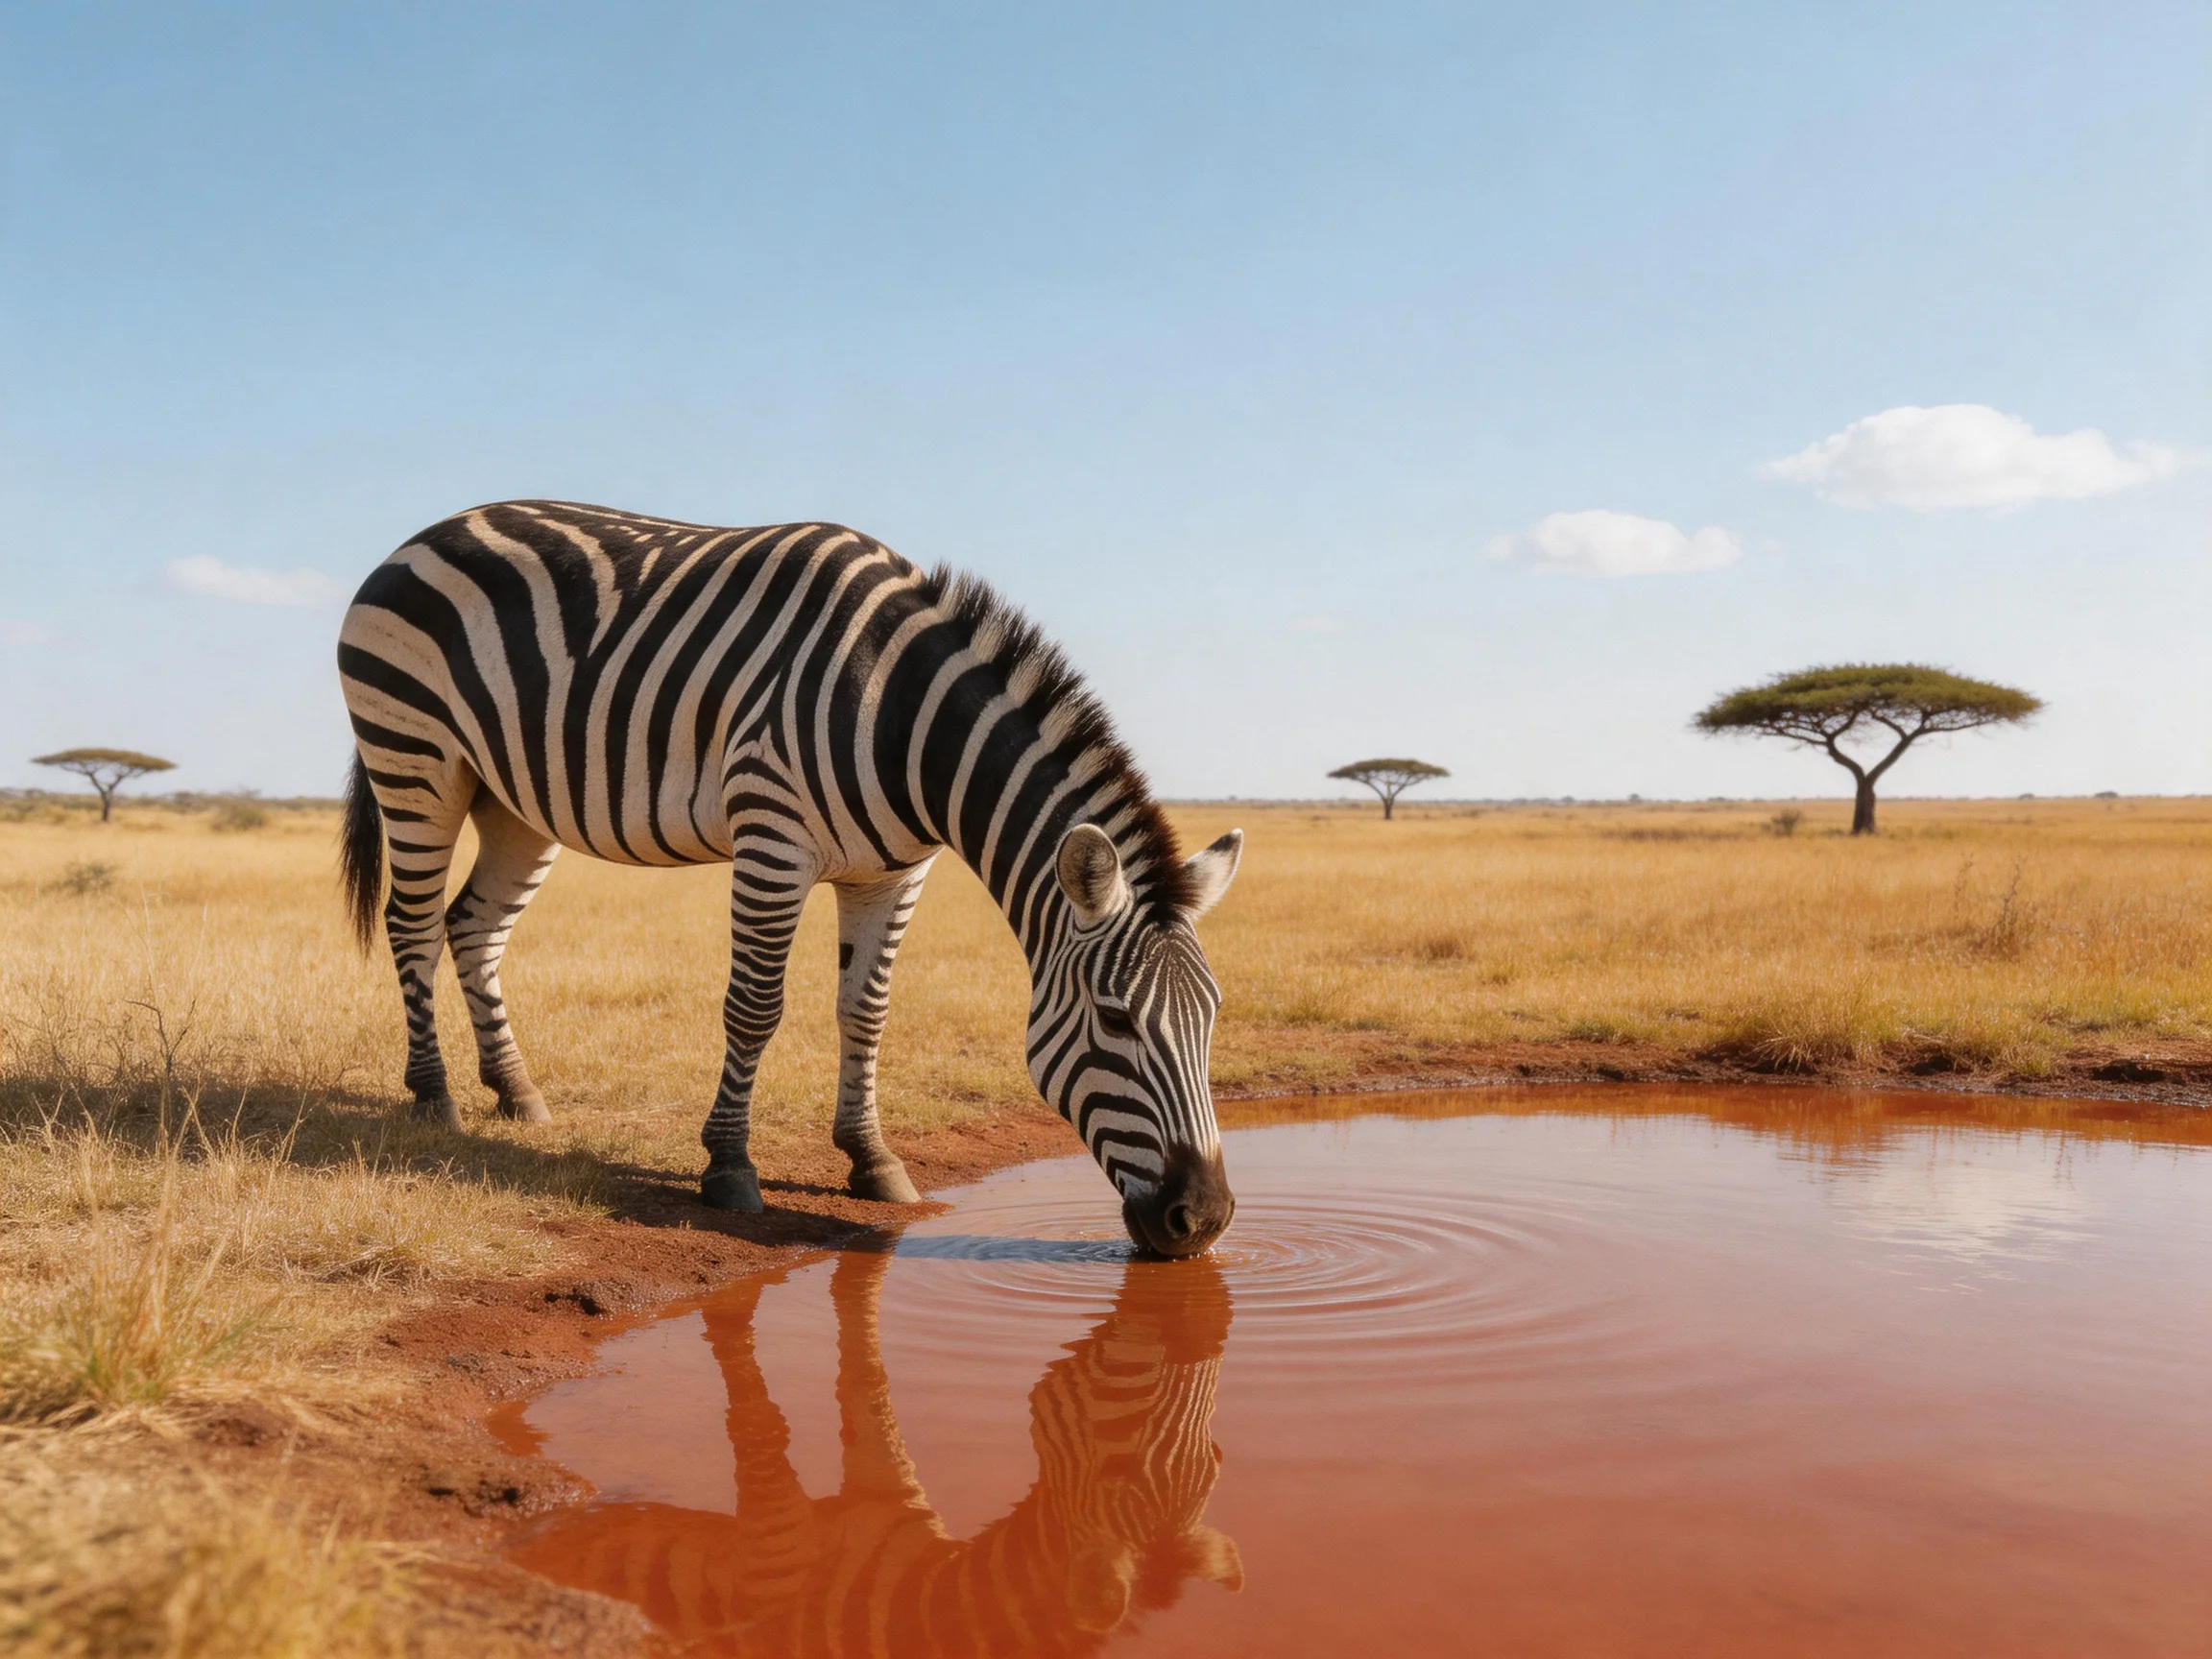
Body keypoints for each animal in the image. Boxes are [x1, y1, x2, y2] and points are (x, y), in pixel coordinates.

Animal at [337, 500, 1242, 1256]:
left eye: (1214, 1017)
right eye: (1115, 1020)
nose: (1202, 1221)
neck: (901, 720)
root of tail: (423, 534)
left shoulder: (894, 872)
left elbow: (866, 1013)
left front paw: (871, 1158)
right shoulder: (771, 834)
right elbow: (756, 1007)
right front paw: (729, 1167)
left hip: (513, 802)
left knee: (474, 926)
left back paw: (515, 1090)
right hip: (417, 758)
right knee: (412, 924)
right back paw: (435, 1097)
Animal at [510, 1244, 1242, 1654]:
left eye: (1217, 1457)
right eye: (1121, 1467)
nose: (1193, 1235)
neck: (918, 1599)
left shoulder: (891, 1492)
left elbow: (866, 1383)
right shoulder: (774, 1554)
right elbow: (762, 1424)